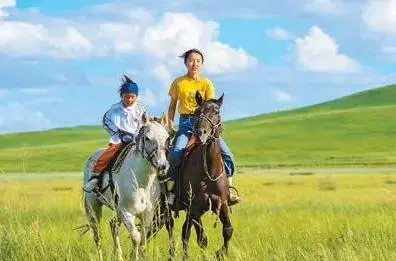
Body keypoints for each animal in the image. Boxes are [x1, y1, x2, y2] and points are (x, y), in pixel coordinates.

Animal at [83, 113, 174, 260]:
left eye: (167, 138)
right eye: (147, 138)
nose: (162, 165)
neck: (141, 184)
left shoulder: (147, 215)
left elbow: (143, 240)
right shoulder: (127, 213)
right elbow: (136, 238)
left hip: (116, 210)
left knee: (113, 225)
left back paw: (118, 255)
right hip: (94, 207)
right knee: (97, 235)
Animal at [172, 90, 232, 258]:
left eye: (216, 112)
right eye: (198, 112)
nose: (201, 134)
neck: (208, 171)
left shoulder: (222, 203)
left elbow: (228, 230)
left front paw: (220, 253)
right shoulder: (194, 208)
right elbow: (202, 239)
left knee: (185, 231)